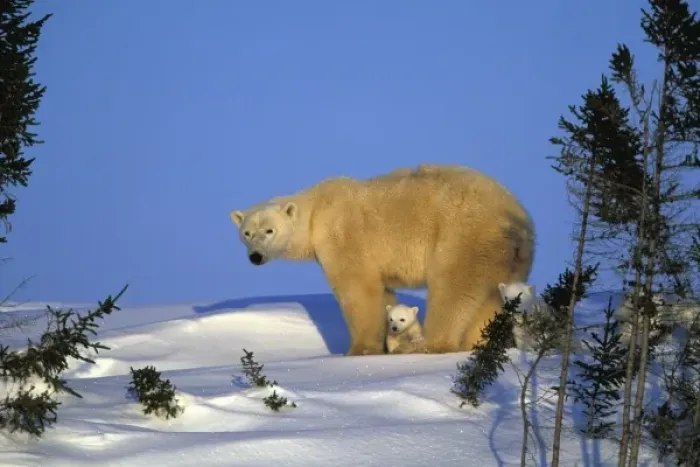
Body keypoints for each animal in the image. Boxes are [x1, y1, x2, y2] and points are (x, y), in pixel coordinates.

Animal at [229, 164, 536, 356]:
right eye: (247, 232)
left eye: (269, 230)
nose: (255, 256)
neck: (316, 211)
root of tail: (516, 222)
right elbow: (384, 293)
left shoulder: (343, 235)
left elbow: (358, 288)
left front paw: (359, 349)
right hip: (511, 258)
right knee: (490, 298)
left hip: (465, 236)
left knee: (453, 288)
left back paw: (432, 344)